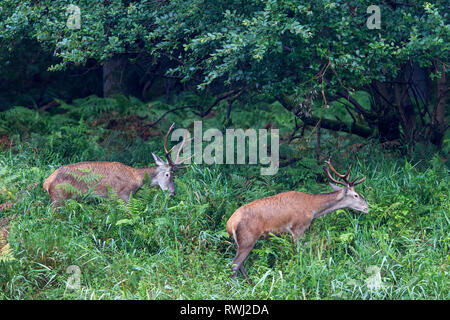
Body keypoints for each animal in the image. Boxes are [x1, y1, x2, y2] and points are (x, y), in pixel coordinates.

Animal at [42, 122, 190, 208]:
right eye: (168, 174)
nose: (172, 193)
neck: (137, 178)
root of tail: (46, 183)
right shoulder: (123, 194)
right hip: (58, 198)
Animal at [227, 159, 368, 282]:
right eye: (356, 195)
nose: (367, 207)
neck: (312, 208)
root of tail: (230, 224)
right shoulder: (298, 228)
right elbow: (300, 253)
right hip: (247, 239)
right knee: (234, 265)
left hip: (239, 242)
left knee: (239, 265)